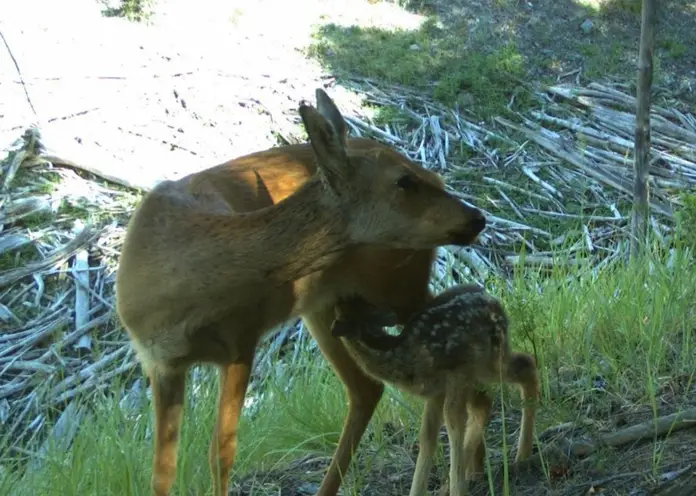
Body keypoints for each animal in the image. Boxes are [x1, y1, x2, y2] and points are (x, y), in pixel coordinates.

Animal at [114, 89, 486, 496]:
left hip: (398, 286)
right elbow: (162, 472)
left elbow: (221, 452)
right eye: (404, 182)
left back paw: (476, 466)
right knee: (367, 388)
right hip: (327, 305)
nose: (477, 217)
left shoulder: (242, 340)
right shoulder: (159, 362)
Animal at [330, 282, 540, 496]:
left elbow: (453, 419)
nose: (336, 299)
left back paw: (522, 455)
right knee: (517, 371)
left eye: (342, 311)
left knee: (526, 364)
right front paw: (419, 490)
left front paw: (457, 488)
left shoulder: (458, 371)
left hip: (490, 359)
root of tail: (495, 301)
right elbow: (427, 436)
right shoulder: (435, 390)